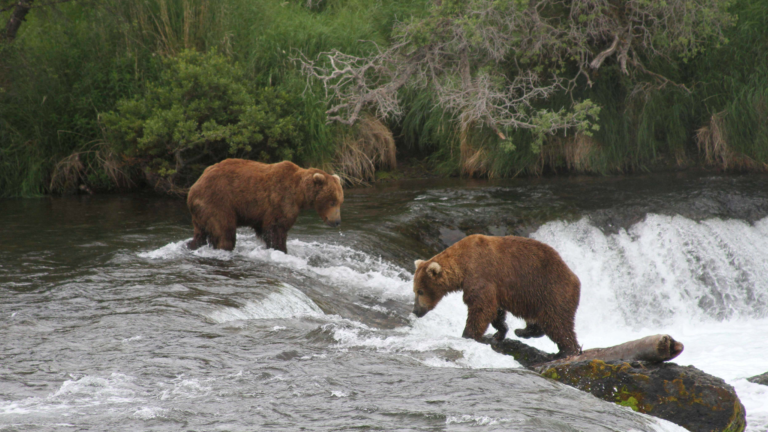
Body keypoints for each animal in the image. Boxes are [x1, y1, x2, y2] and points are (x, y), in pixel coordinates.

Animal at [186, 159, 343, 253]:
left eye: (340, 201)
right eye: (332, 201)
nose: (337, 221)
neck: (300, 193)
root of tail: (193, 188)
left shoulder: (261, 213)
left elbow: (265, 229)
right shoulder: (280, 200)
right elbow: (276, 229)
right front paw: (281, 249)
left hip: (202, 212)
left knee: (200, 233)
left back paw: (191, 245)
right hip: (218, 201)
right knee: (224, 231)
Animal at [412, 234, 581, 357]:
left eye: (420, 291)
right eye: (415, 290)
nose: (415, 311)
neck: (463, 265)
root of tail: (575, 278)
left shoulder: (481, 274)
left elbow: (481, 308)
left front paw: (468, 335)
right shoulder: (495, 287)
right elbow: (495, 311)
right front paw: (499, 332)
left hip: (550, 291)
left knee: (557, 322)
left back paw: (566, 351)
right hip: (535, 299)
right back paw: (523, 331)